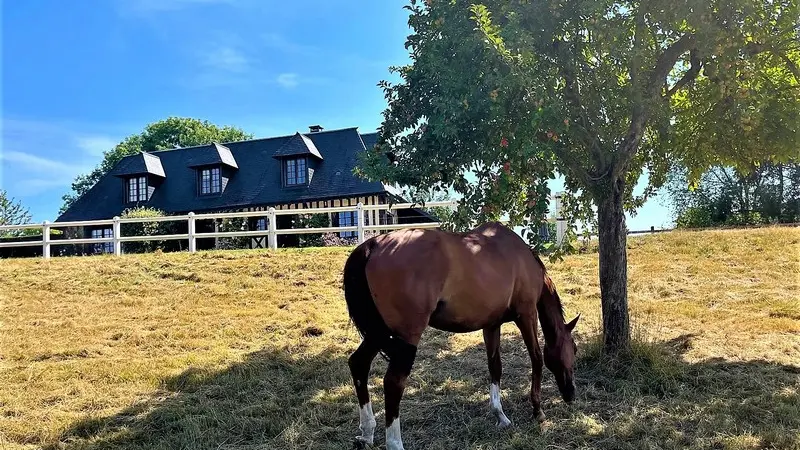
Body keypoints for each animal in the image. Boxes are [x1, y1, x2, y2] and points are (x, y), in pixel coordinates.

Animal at [340, 221, 580, 450]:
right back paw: (395, 443)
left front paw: (500, 415)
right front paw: (537, 410)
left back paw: (367, 433)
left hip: (379, 333)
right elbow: (536, 359)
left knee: (358, 364)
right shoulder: (527, 315)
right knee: (393, 382)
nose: (571, 394)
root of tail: (373, 245)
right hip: (405, 337)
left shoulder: (491, 325)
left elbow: (495, 367)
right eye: (574, 349)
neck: (520, 257)